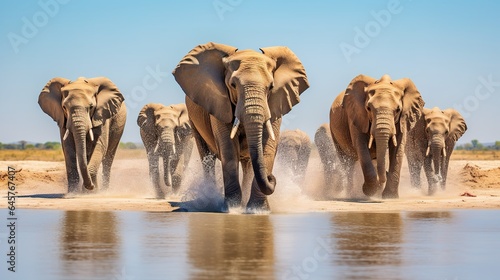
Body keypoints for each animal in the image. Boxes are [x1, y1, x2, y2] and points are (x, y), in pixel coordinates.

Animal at [174, 42, 310, 211]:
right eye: (233, 85)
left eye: (271, 87)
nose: (271, 177)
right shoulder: (219, 103)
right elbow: (228, 147)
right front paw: (231, 208)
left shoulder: (275, 103)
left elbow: (267, 147)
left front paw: (257, 210)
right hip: (194, 119)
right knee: (207, 157)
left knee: (248, 163)